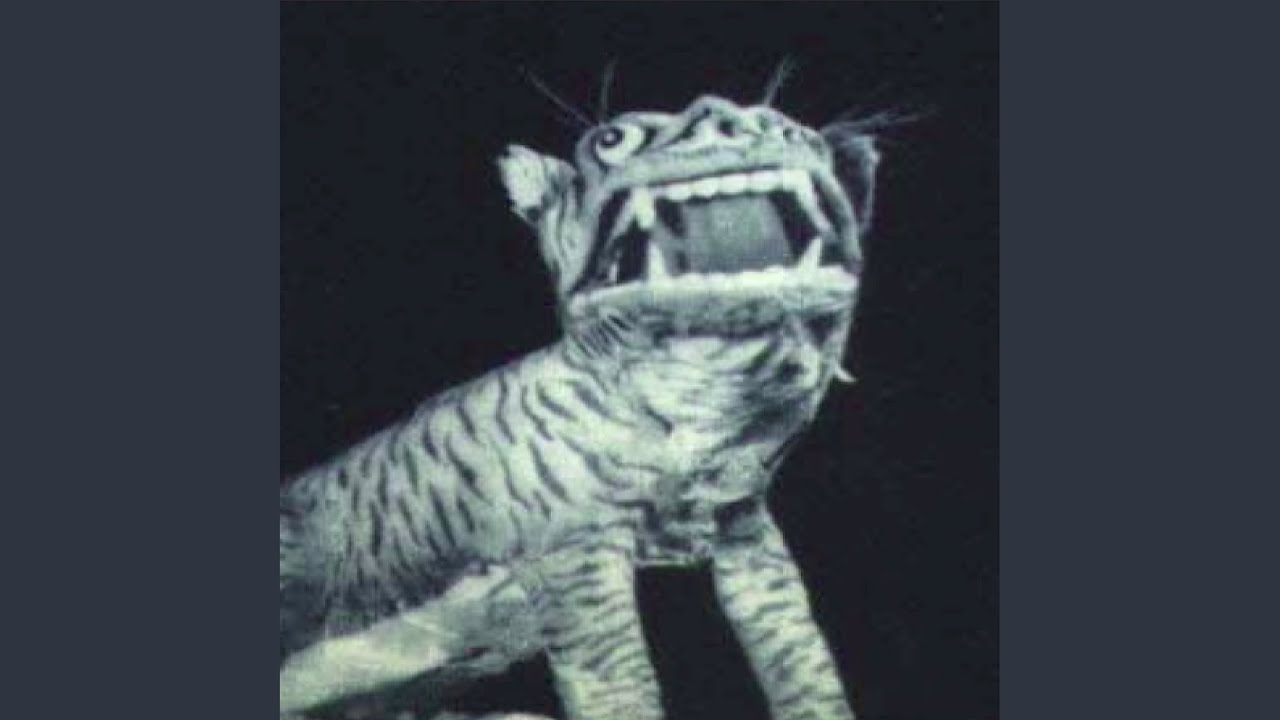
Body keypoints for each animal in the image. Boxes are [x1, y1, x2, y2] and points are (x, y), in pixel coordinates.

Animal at [280, 93, 881, 720]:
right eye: (612, 139)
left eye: (790, 128)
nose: (728, 120)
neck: (705, 407)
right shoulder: (574, 559)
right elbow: (622, 685)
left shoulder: (747, 529)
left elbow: (801, 658)